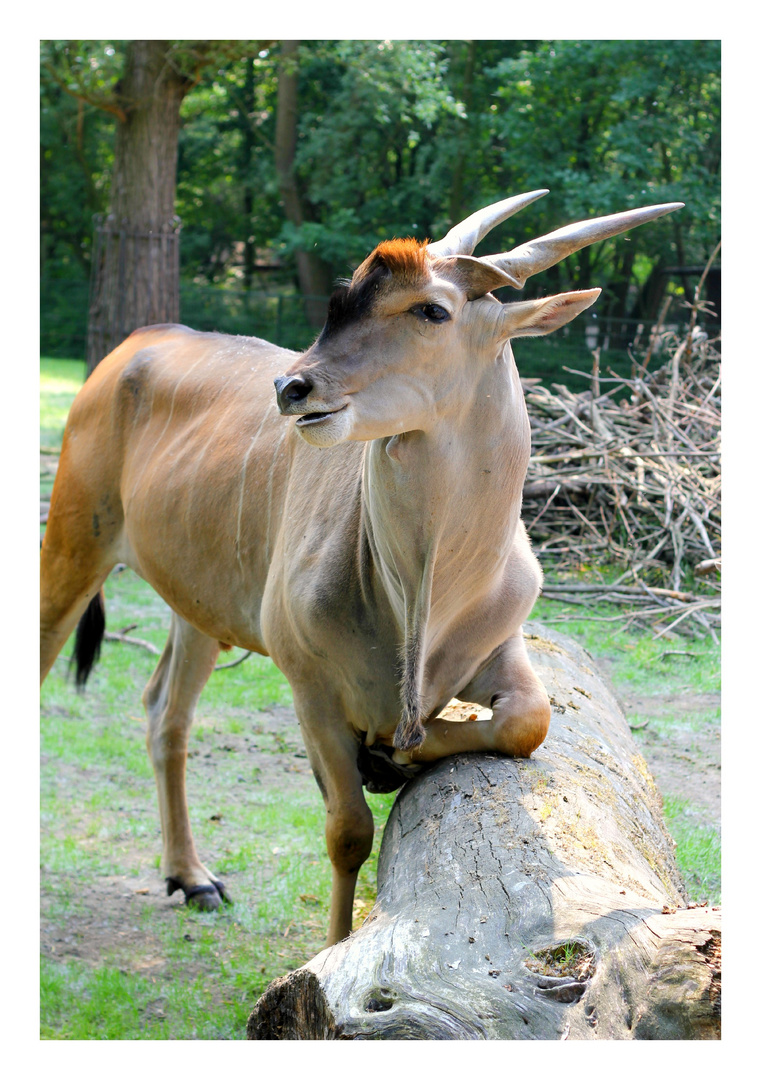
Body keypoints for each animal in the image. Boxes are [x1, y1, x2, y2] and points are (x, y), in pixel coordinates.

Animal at [39, 192, 682, 946]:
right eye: (346, 296)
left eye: (432, 309)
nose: (291, 387)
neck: (417, 592)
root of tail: (133, 348)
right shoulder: (310, 687)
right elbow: (346, 832)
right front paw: (336, 941)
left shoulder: (498, 651)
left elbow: (529, 721)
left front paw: (394, 755)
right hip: (74, 546)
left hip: (197, 607)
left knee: (165, 713)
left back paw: (192, 876)